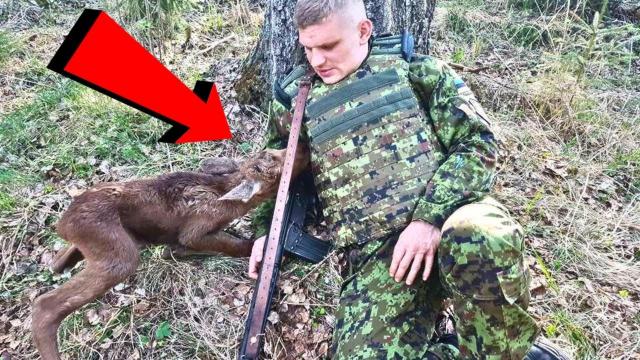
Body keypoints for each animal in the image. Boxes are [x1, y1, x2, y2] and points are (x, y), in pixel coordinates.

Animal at [31, 147, 308, 360]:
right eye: (275, 167)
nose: (303, 147)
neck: (228, 199)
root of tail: (63, 224)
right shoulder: (196, 229)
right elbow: (232, 244)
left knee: (57, 262)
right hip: (119, 255)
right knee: (45, 304)